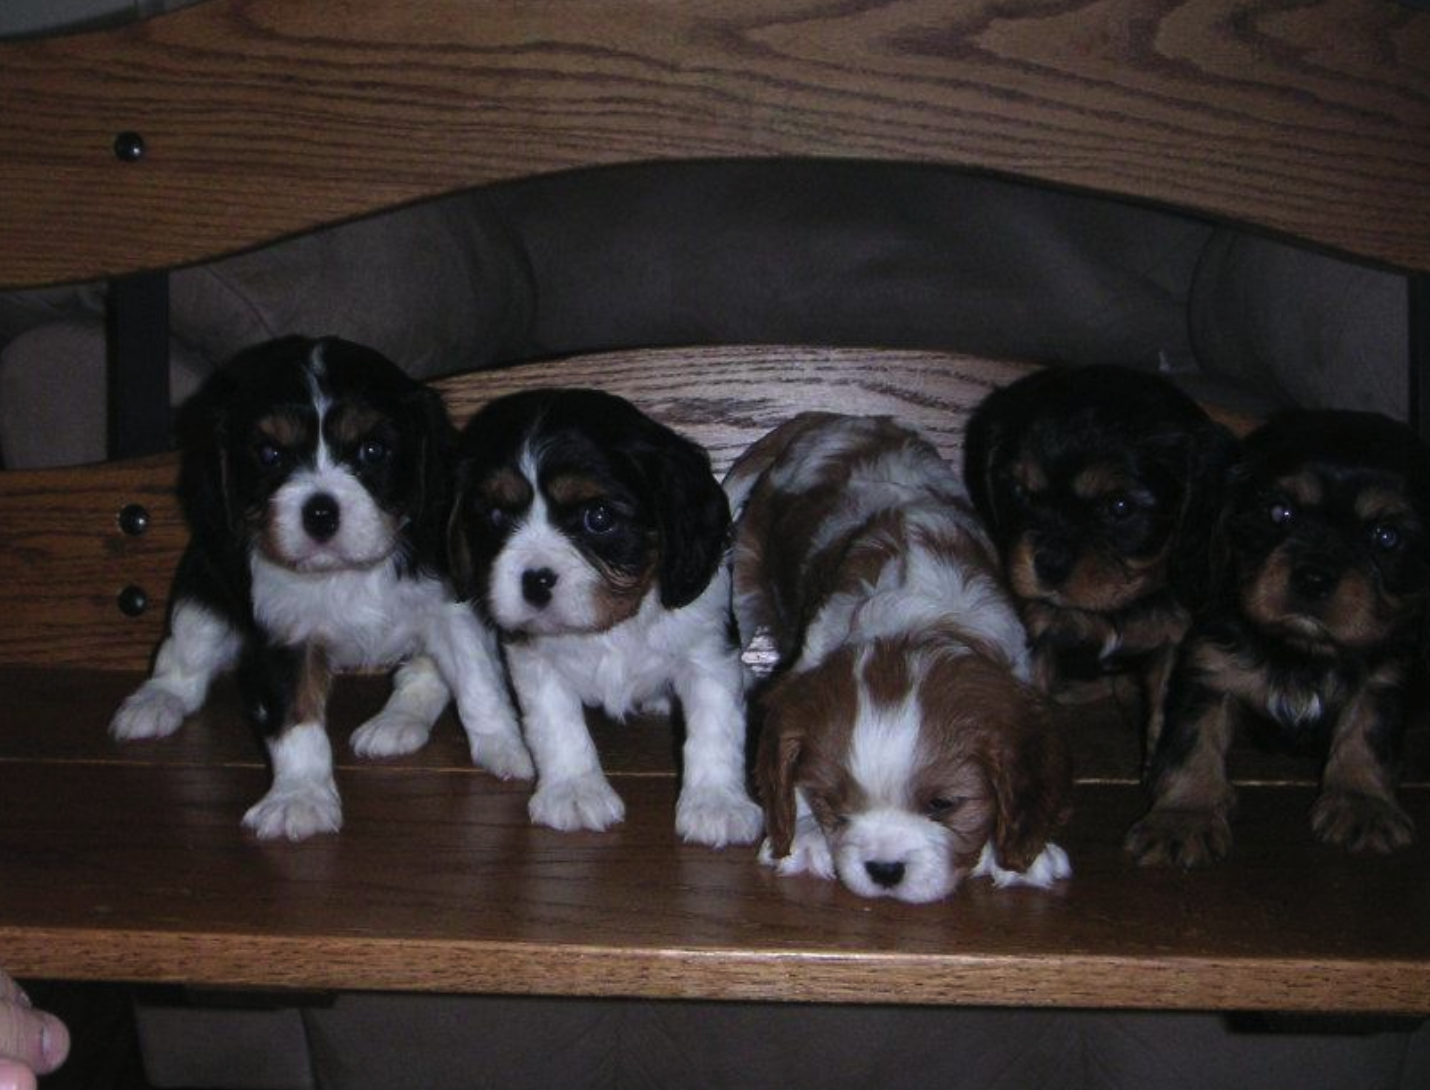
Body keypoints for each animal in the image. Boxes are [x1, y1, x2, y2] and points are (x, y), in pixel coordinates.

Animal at [110, 336, 531, 840]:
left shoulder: (450, 605)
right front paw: (300, 798)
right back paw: (155, 702)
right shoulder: (283, 631)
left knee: (423, 673)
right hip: (202, 583)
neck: (344, 571)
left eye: (373, 450)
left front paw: (508, 751)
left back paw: (397, 720)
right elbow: (296, 718)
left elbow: (477, 681)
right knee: (185, 652)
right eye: (269, 455)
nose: (320, 513)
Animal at [447, 387, 763, 848]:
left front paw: (717, 804)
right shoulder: (534, 659)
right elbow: (557, 724)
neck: (612, 624)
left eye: (598, 518)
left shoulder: (707, 650)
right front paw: (574, 792)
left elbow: (715, 725)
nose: (535, 581)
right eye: (496, 518)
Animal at [728, 413, 1072, 903]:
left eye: (943, 804)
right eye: (833, 803)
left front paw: (1025, 857)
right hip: (747, 572)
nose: (884, 870)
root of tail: (836, 418)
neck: (913, 625)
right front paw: (807, 840)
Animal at [963, 365, 1237, 760]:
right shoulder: (1039, 633)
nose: (1049, 564)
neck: (1112, 609)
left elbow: (1163, 716)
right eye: (1018, 492)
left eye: (1119, 507)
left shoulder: (1175, 637)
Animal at [1127, 410, 1429, 866]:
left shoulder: (1383, 678)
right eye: (1279, 512)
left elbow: (1367, 733)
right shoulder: (1208, 671)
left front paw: (1362, 804)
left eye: (1386, 536)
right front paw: (1183, 817)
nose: (1313, 577)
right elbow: (1192, 743)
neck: (1301, 650)